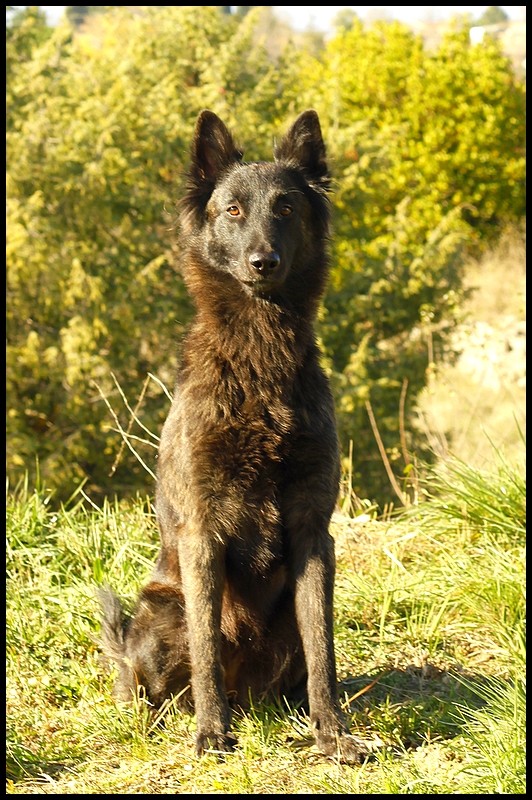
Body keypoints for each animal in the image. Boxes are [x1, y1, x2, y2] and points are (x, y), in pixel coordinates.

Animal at [98, 108, 366, 764]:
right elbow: (206, 651)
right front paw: (210, 733)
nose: (263, 261)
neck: (259, 365)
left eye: (286, 208)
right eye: (234, 210)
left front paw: (332, 733)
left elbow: (324, 649)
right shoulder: (203, 533)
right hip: (159, 612)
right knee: (148, 679)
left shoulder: (312, 532)